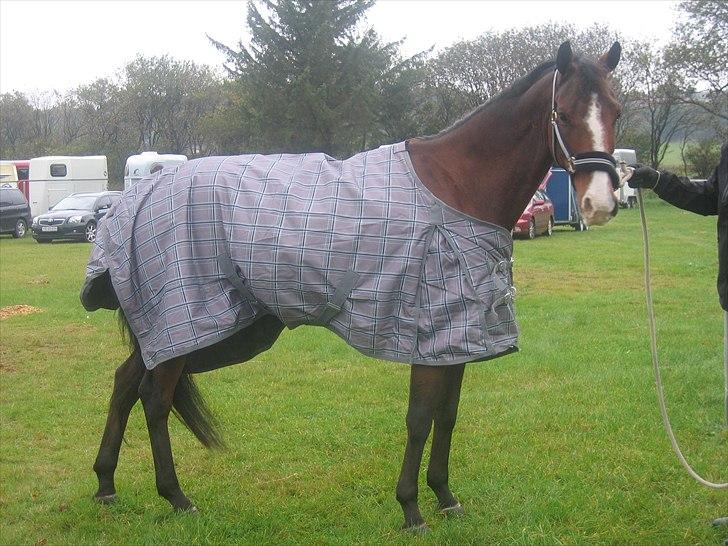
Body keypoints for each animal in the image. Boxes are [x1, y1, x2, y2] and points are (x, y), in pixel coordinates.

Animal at [84, 40, 622, 532]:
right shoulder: (426, 336)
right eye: (563, 113)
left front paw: (445, 496)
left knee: (126, 382)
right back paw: (176, 498)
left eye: (616, 111)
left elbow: (447, 415)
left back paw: (106, 485)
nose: (597, 203)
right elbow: (419, 417)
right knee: (154, 396)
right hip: (191, 322)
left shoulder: (459, 336)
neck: (455, 186)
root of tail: (142, 194)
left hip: (197, 330)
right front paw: (411, 509)